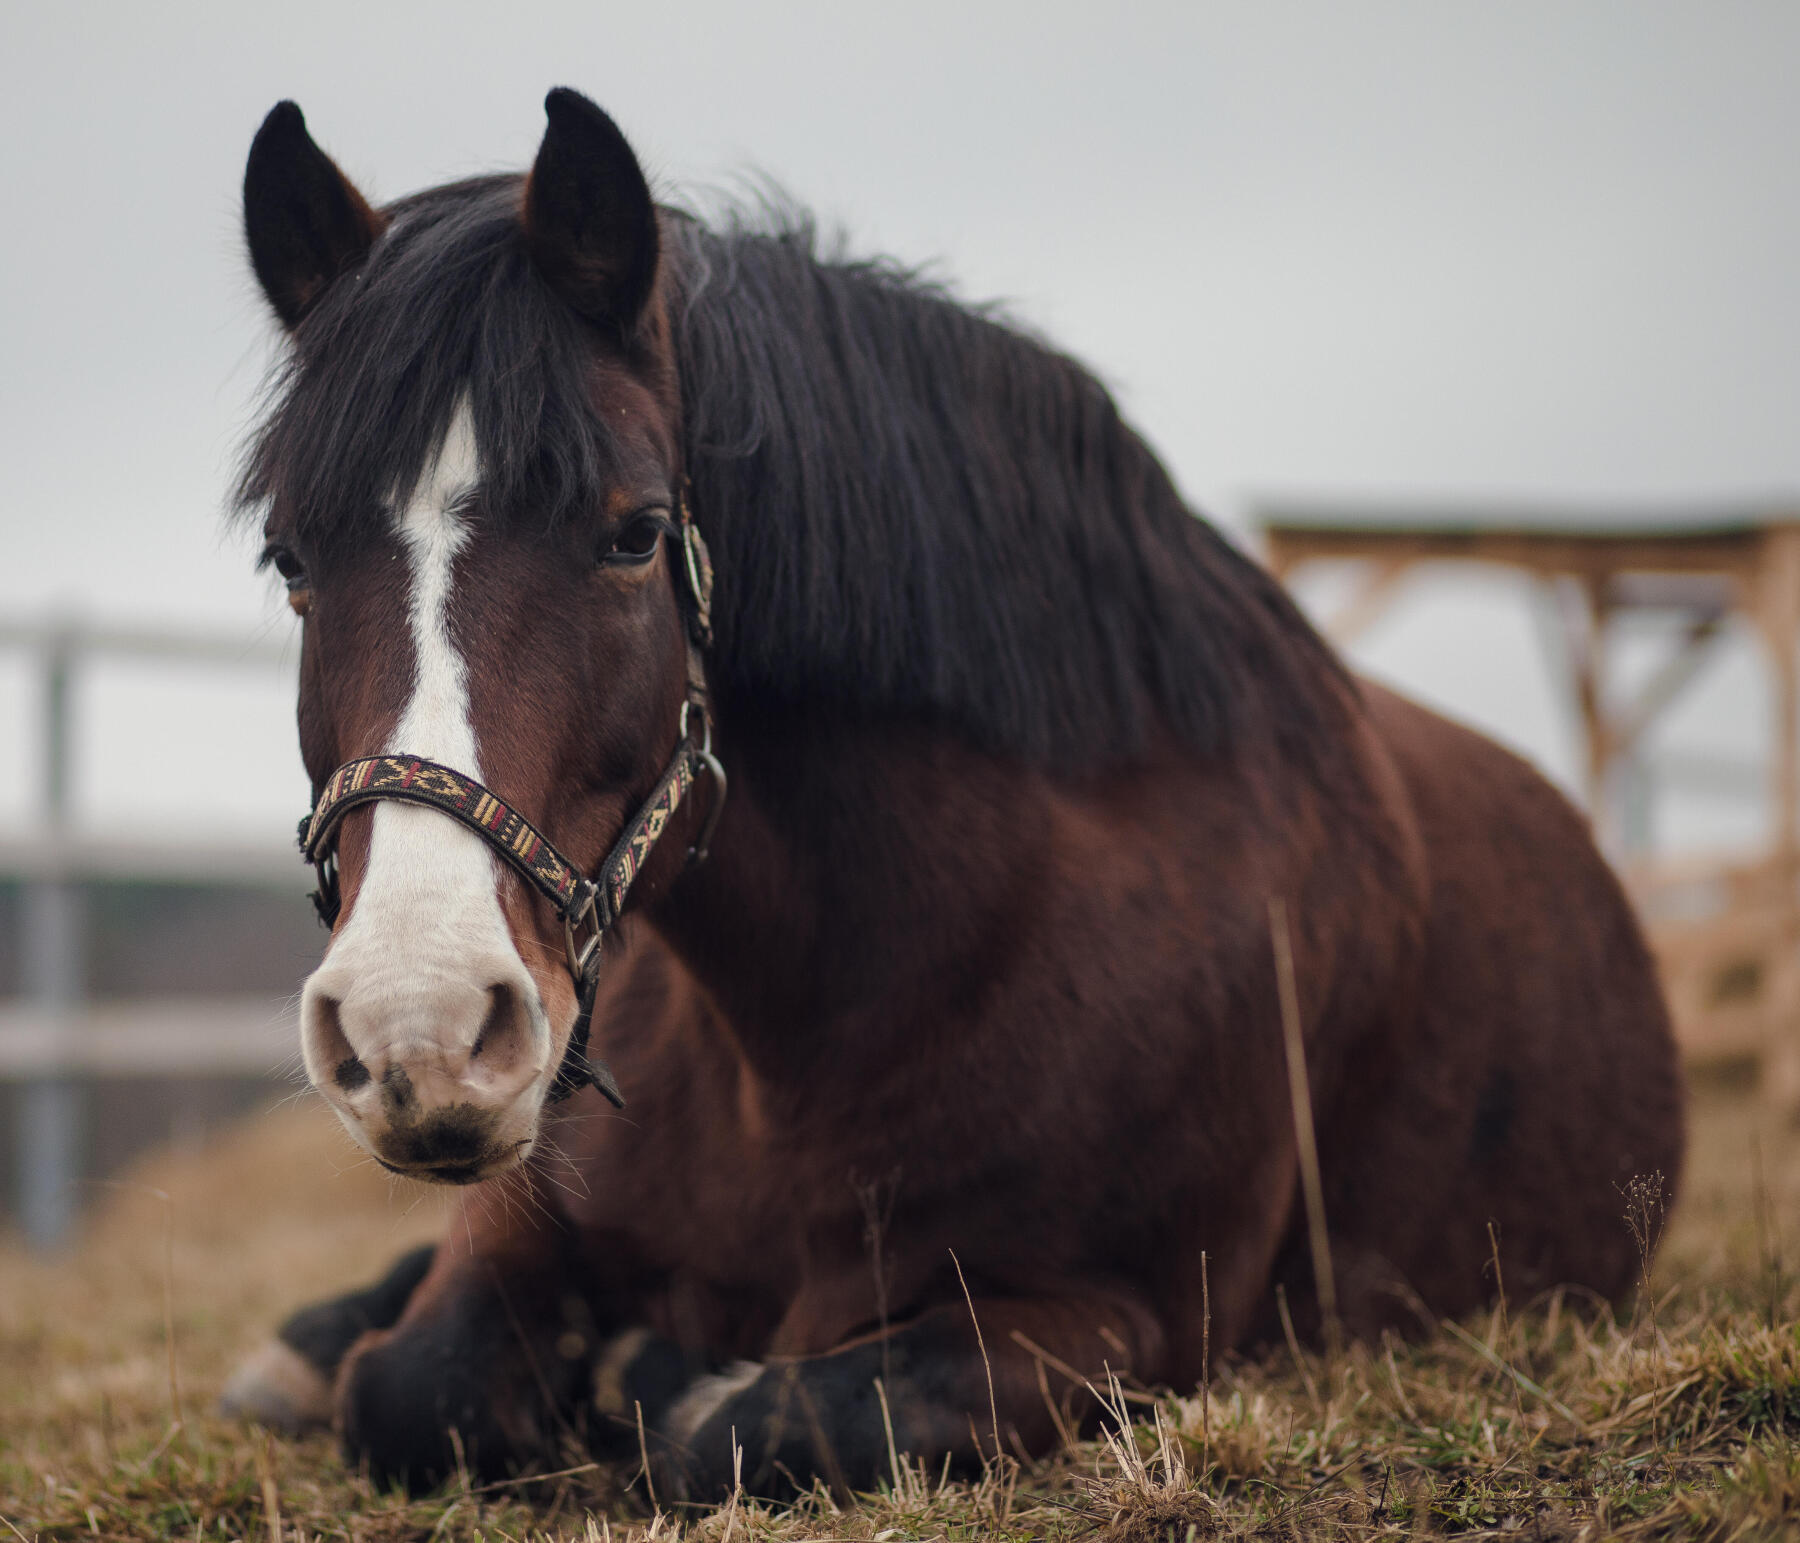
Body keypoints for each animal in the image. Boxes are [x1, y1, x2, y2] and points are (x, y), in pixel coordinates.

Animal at [221, 90, 1684, 1497]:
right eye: (291, 557)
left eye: (635, 533)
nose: (416, 1027)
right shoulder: (519, 1213)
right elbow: (415, 1386)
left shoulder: (1129, 1320)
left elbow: (745, 1419)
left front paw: (651, 1368)